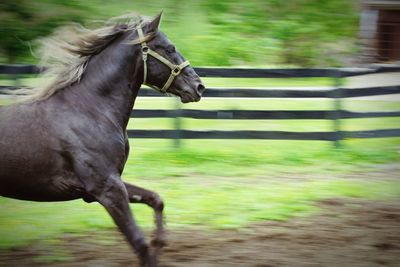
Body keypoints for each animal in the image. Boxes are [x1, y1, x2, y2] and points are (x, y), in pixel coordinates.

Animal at [0, 13, 205, 267]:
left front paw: (160, 241)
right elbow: (139, 241)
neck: (91, 110)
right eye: (170, 48)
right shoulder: (106, 189)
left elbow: (156, 199)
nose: (199, 87)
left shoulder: (110, 183)